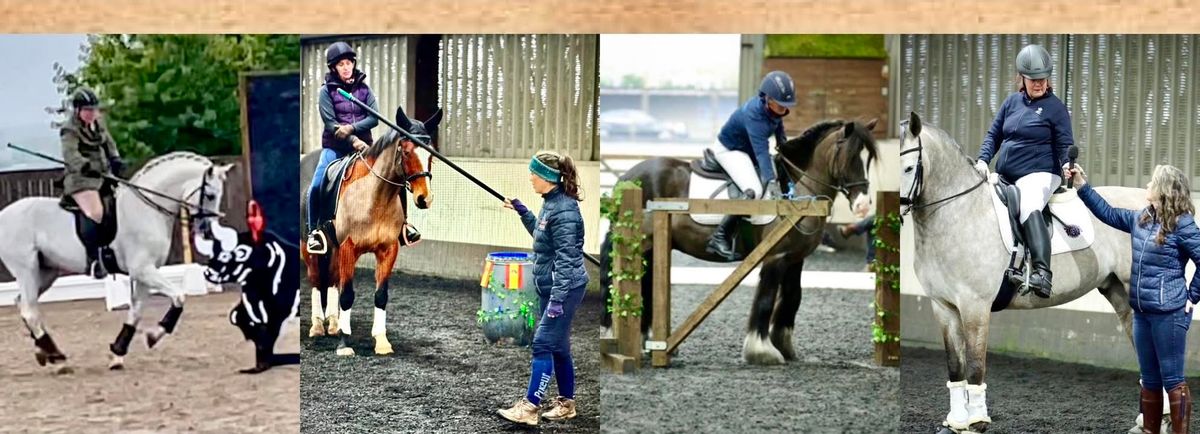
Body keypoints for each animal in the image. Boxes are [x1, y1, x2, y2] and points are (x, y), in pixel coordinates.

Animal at [0, 152, 231, 369]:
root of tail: (3, 214)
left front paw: (118, 354)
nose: (207, 231)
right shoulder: (142, 269)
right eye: (210, 195)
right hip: (27, 269)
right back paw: (57, 358)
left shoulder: (147, 272)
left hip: (46, 272)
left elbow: (136, 311)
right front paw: (154, 335)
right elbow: (179, 296)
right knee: (29, 310)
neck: (146, 209)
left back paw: (44, 351)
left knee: (22, 303)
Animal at [302, 107, 444, 354]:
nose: (424, 198)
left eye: (431, 154)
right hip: (308, 247)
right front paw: (344, 344)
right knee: (316, 280)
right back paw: (318, 326)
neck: (374, 197)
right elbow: (347, 295)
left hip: (334, 249)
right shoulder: (348, 247)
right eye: (407, 152)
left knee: (331, 280)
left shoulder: (388, 249)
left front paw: (382, 341)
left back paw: (334, 324)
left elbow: (381, 295)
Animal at [597, 116, 873, 364]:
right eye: (850, 157)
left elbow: (793, 298)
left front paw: (785, 346)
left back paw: (647, 342)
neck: (797, 190)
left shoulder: (795, 259)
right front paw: (762, 351)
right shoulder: (775, 257)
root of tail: (626, 177)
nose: (863, 205)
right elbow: (765, 300)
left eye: (869, 159)